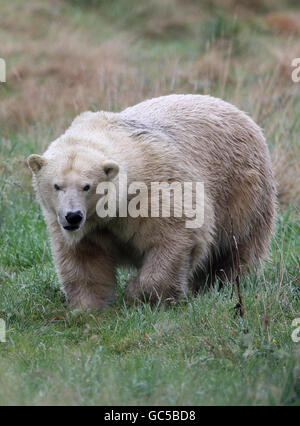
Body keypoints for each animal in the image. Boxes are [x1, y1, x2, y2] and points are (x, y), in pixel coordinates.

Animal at [27, 94, 276, 306]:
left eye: (87, 186)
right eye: (57, 186)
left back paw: (223, 284)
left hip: (242, 191)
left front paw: (138, 295)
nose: (73, 216)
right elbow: (84, 260)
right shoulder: (84, 228)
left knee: (236, 246)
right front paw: (86, 306)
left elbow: (175, 234)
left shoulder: (155, 187)